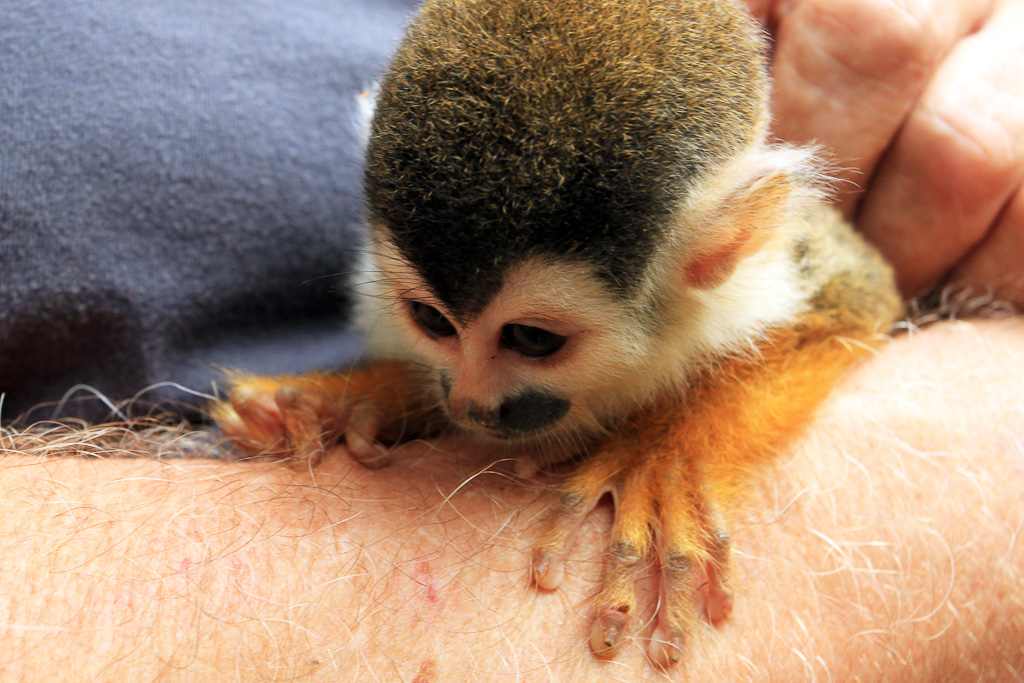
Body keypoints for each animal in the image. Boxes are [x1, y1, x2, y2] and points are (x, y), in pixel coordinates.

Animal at [211, 0, 901, 671]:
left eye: (532, 339)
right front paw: (366, 394)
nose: (471, 404)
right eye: (433, 322)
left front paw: (663, 455)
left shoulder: (774, 271)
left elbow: (857, 304)